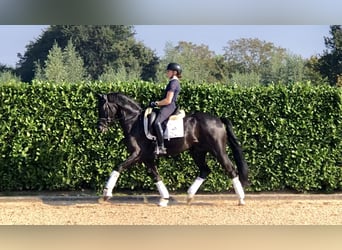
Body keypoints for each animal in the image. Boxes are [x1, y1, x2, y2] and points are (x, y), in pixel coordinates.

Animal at [97, 93, 247, 206]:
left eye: (103, 108)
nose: (100, 128)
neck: (134, 122)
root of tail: (218, 120)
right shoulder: (146, 157)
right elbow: (155, 176)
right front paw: (164, 199)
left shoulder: (136, 154)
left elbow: (118, 167)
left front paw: (106, 193)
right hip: (197, 151)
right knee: (205, 170)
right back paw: (189, 196)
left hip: (217, 150)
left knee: (231, 169)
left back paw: (241, 199)